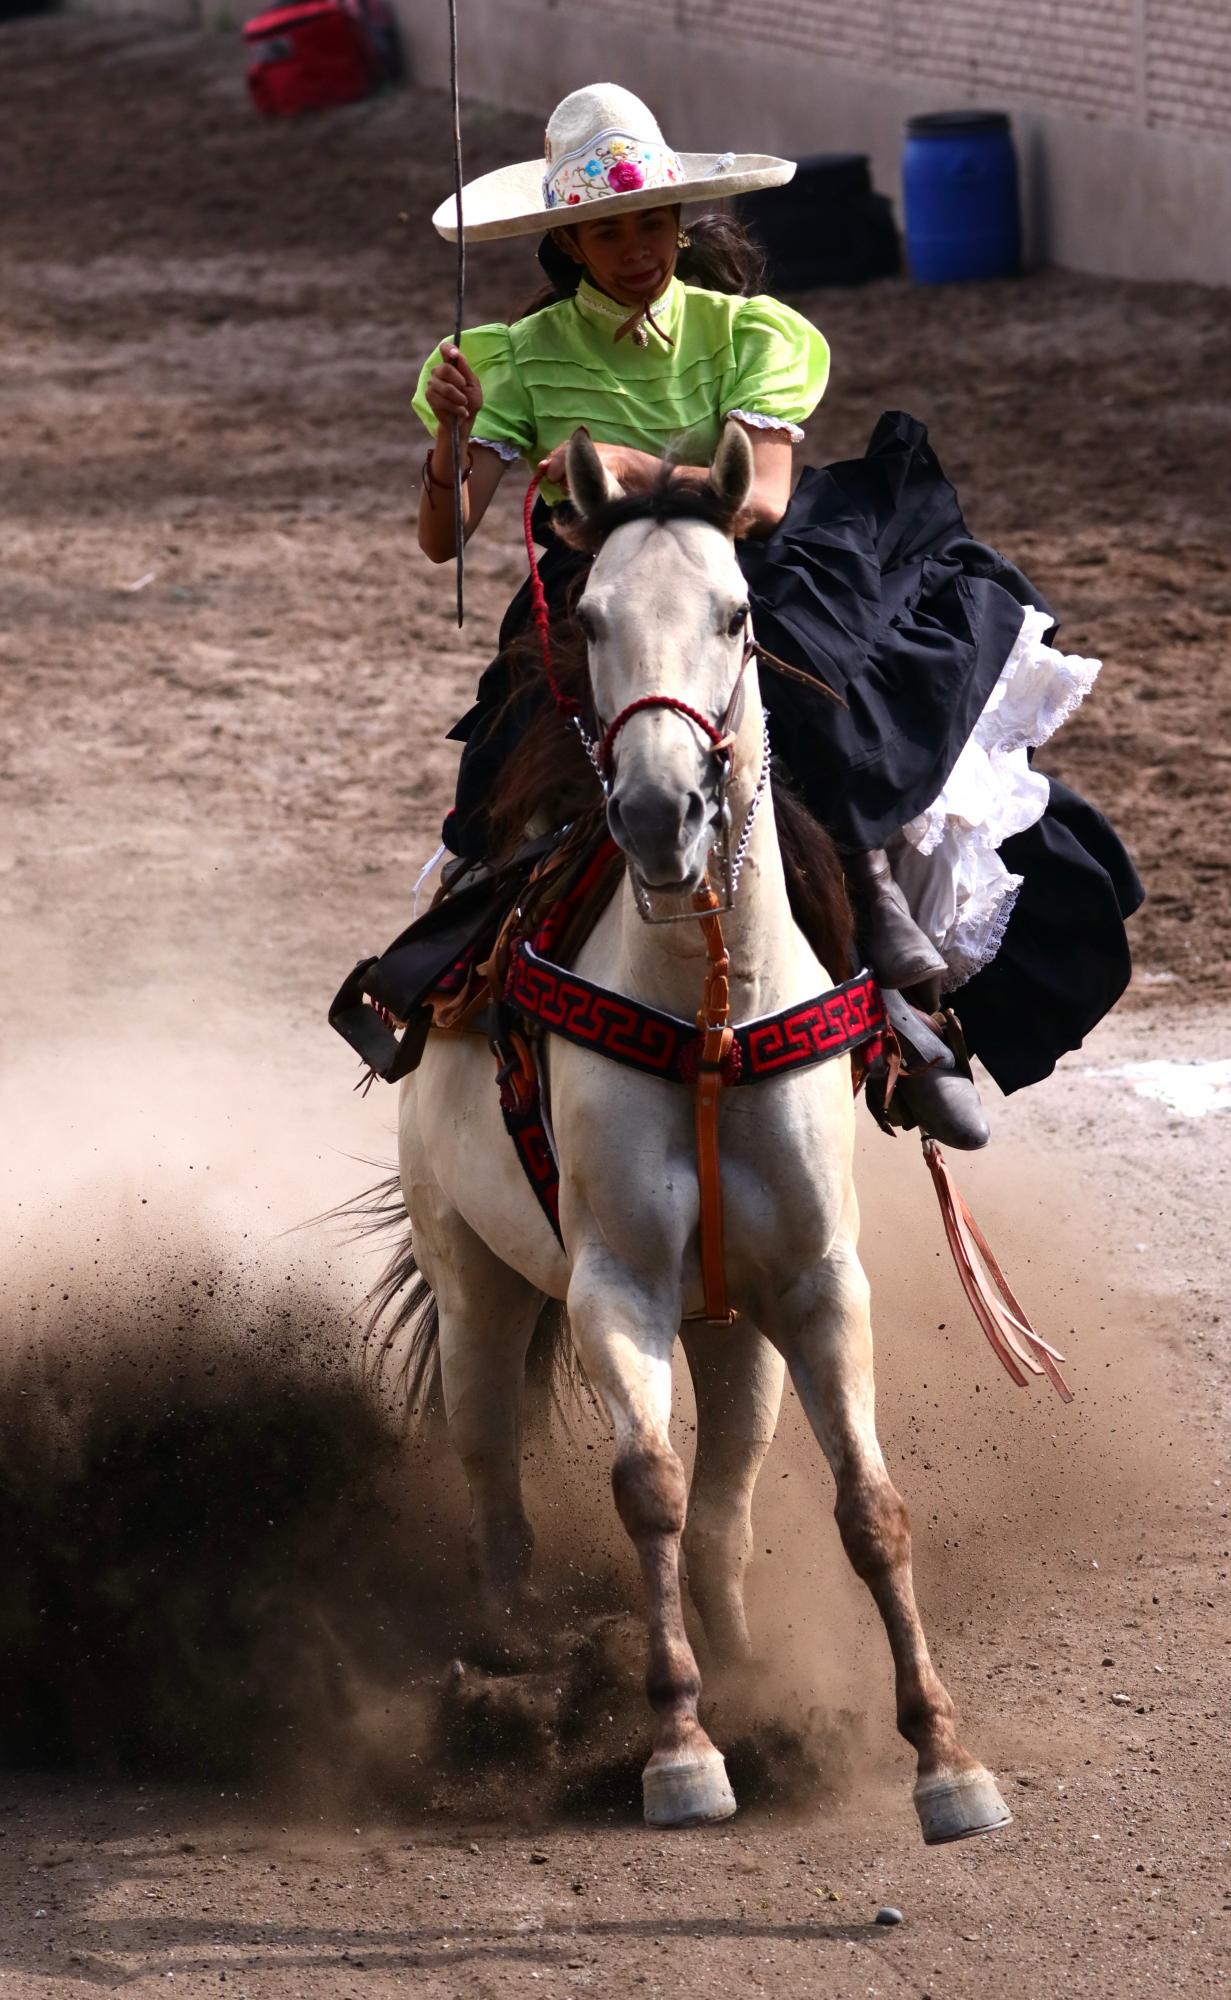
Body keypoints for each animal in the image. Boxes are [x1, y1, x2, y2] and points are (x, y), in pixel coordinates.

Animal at [389, 422, 1015, 1840]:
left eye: (736, 614)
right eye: (591, 618)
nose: (658, 812)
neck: (708, 1014)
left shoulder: (820, 1284)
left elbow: (868, 1506)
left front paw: (945, 1757)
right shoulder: (614, 1285)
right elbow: (648, 1489)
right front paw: (678, 1747)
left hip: (737, 1333)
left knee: (728, 1509)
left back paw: (738, 1665)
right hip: (476, 1280)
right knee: (495, 1482)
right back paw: (506, 1674)